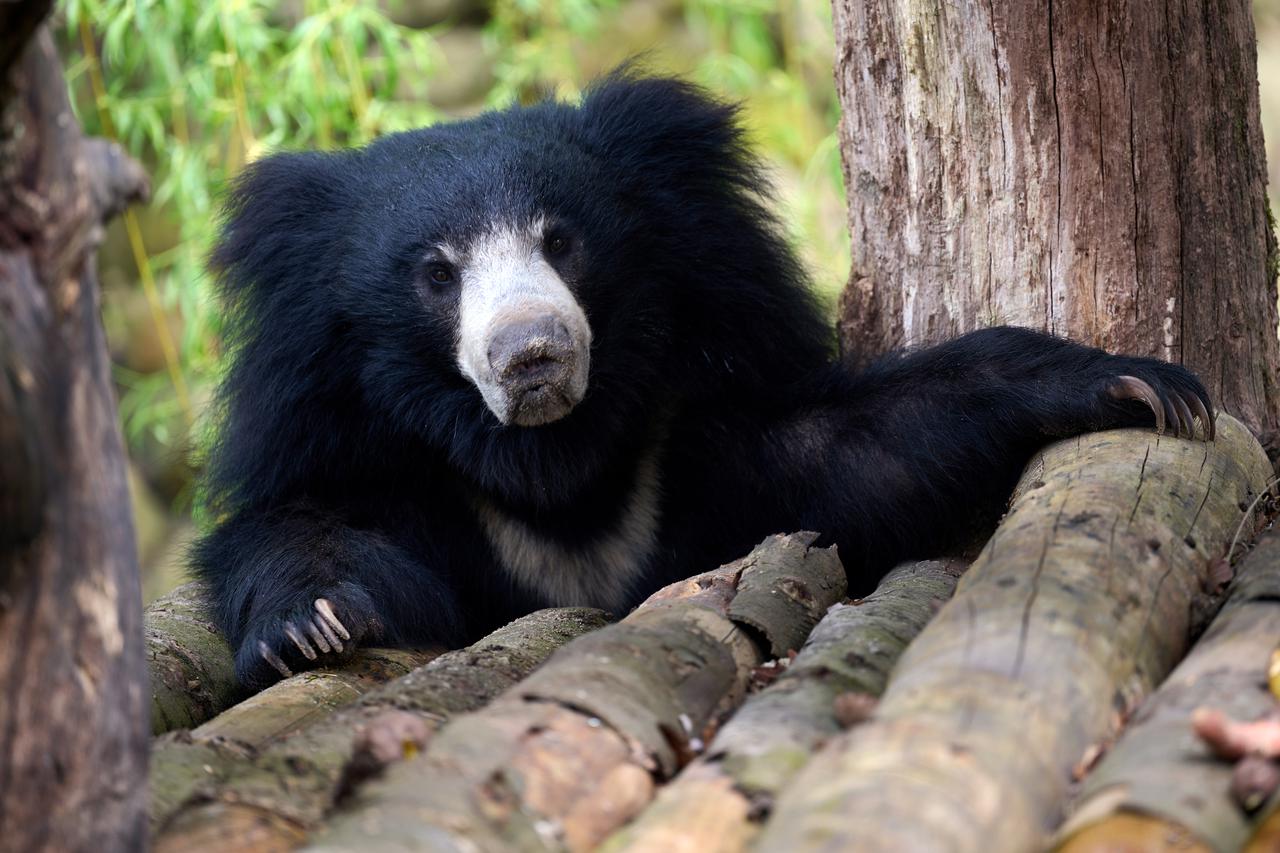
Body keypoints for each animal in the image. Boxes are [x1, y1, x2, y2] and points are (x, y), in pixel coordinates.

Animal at [194, 71, 1213, 686]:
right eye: (437, 273)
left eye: (560, 239)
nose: (532, 355)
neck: (551, 461)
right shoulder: (363, 444)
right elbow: (302, 522)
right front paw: (313, 625)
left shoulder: (691, 437)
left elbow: (854, 450)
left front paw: (1140, 385)